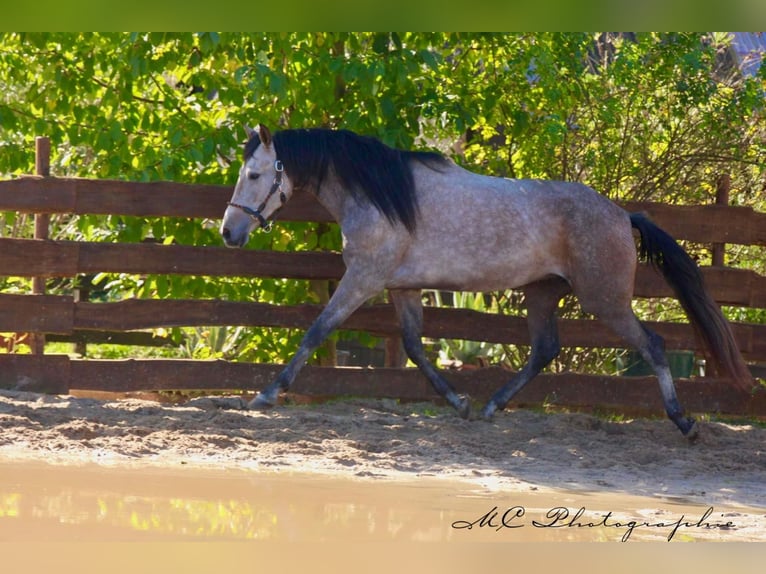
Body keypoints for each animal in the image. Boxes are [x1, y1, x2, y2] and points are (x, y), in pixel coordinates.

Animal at [220, 124, 753, 438]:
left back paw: (684, 422)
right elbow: (414, 348)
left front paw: (266, 394)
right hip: (543, 294)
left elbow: (316, 331)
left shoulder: (364, 279)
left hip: (605, 299)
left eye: (255, 174)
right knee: (544, 349)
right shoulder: (402, 287)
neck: (383, 197)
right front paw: (459, 402)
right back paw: (493, 406)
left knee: (654, 344)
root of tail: (623, 214)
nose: (229, 232)